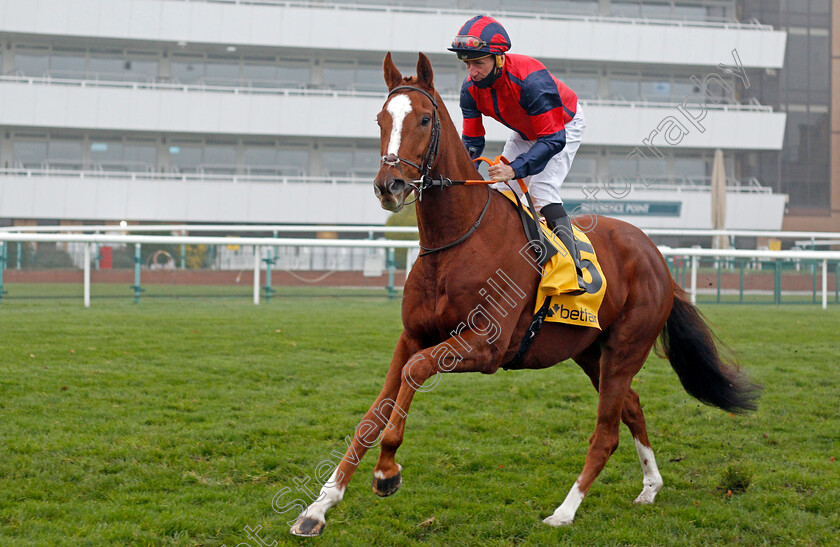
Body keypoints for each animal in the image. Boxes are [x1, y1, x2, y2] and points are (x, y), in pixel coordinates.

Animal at [288, 53, 760, 536]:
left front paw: (386, 470)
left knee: (607, 431)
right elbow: (373, 414)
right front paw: (319, 506)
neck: (458, 238)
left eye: (423, 119)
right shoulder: (412, 336)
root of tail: (656, 255)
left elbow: (414, 373)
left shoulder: (486, 345)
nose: (390, 186)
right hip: (591, 351)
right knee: (631, 407)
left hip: (627, 347)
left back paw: (564, 511)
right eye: (381, 119)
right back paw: (650, 486)